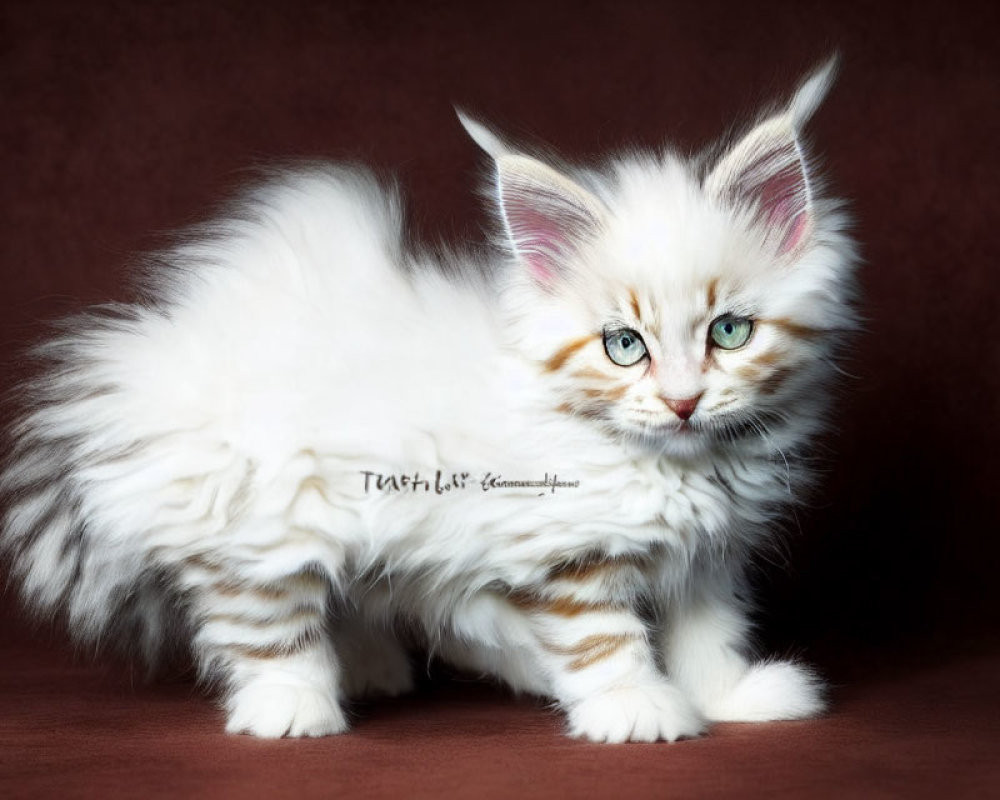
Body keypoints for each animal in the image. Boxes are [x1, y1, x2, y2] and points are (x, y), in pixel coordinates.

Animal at [3, 59, 856, 740]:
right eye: (624, 345)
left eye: (730, 331)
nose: (683, 402)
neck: (680, 465)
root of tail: (151, 359)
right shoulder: (564, 546)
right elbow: (603, 640)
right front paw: (637, 711)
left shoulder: (710, 555)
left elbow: (709, 634)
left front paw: (726, 699)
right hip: (261, 509)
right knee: (262, 617)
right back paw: (294, 708)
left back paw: (386, 669)